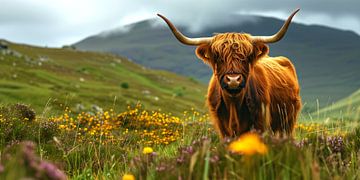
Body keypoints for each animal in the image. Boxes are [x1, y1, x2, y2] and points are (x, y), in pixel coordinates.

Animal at [159, 8, 302, 138]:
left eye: (246, 57)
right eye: (218, 57)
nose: (233, 80)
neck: (234, 105)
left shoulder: (261, 123)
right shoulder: (222, 127)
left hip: (288, 123)